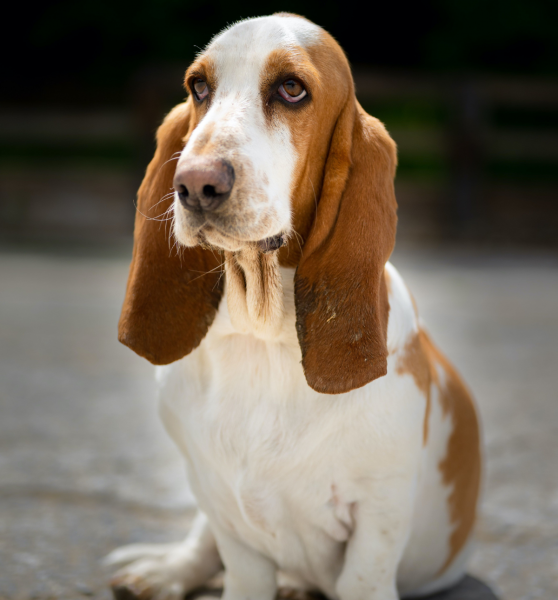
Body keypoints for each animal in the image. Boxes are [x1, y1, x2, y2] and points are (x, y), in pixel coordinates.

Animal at [107, 14, 484, 600]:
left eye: (291, 89)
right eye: (198, 87)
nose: (193, 184)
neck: (265, 337)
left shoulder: (379, 510)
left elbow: (362, 576)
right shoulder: (224, 508)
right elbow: (237, 565)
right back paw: (165, 571)